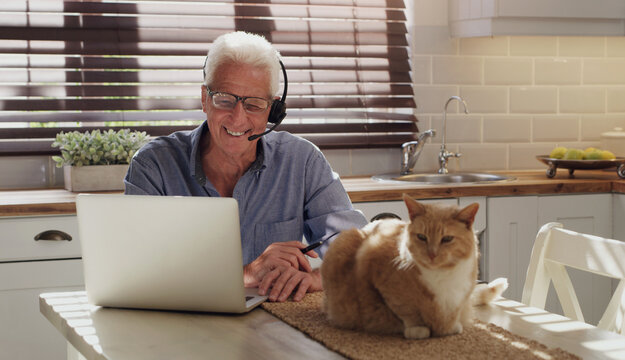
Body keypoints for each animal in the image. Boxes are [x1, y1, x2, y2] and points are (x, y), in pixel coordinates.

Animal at [322, 194, 508, 338]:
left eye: (447, 239)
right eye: (422, 237)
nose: (432, 254)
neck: (441, 275)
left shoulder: (462, 295)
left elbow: (453, 314)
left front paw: (450, 327)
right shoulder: (381, 277)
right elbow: (407, 310)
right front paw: (418, 328)